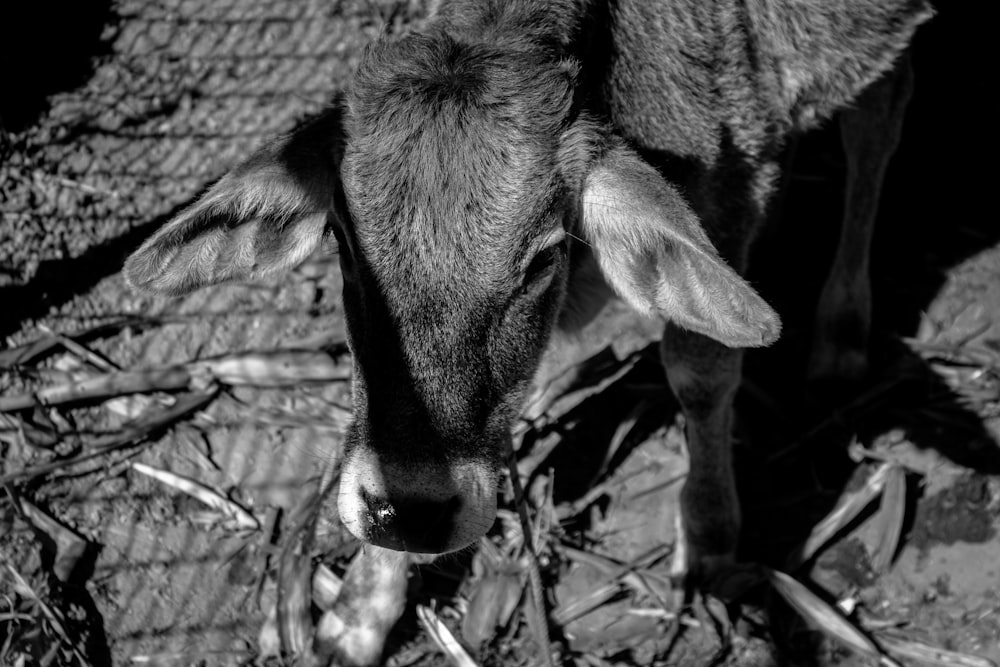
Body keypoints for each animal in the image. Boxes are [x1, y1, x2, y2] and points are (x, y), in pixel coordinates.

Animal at [123, 0, 928, 592]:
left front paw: (707, 537)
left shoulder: (733, 175)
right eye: (345, 244)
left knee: (880, 118)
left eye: (540, 259)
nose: (406, 511)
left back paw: (841, 335)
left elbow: (701, 373)